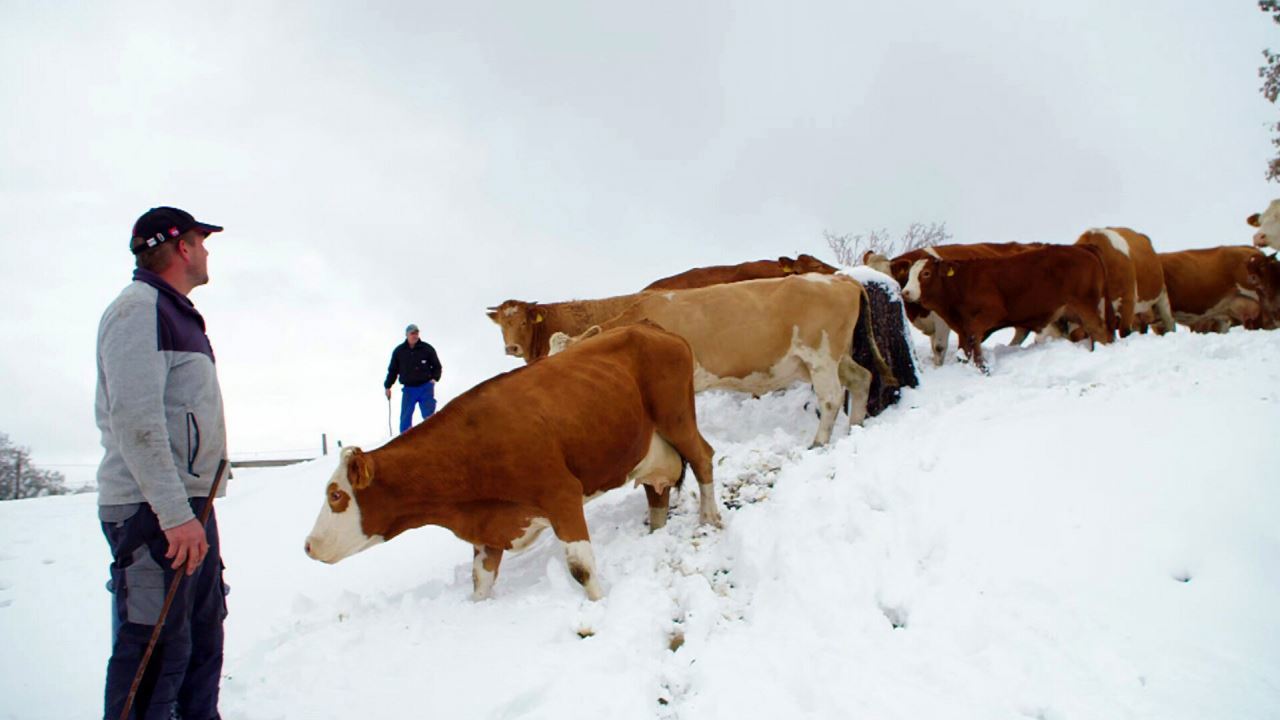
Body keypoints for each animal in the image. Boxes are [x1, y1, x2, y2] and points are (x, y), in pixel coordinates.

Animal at [302, 320, 721, 599]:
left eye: (336, 495)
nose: (307, 546)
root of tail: (653, 328)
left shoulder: (561, 494)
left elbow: (581, 568)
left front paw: (598, 606)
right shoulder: (487, 531)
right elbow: (480, 583)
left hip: (677, 418)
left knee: (703, 458)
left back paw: (710, 519)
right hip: (649, 446)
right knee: (657, 489)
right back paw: (656, 533)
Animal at [488, 272, 890, 445]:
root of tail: (838, 278)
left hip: (820, 356)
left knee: (831, 398)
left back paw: (818, 444)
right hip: (832, 358)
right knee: (862, 379)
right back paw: (856, 428)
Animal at [896, 244, 1116, 368]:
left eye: (925, 273)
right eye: (909, 275)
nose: (905, 292)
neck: (961, 284)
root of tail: (1084, 249)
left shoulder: (990, 314)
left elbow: (974, 340)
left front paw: (982, 367)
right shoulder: (961, 327)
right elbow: (964, 348)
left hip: (1085, 305)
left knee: (1099, 332)